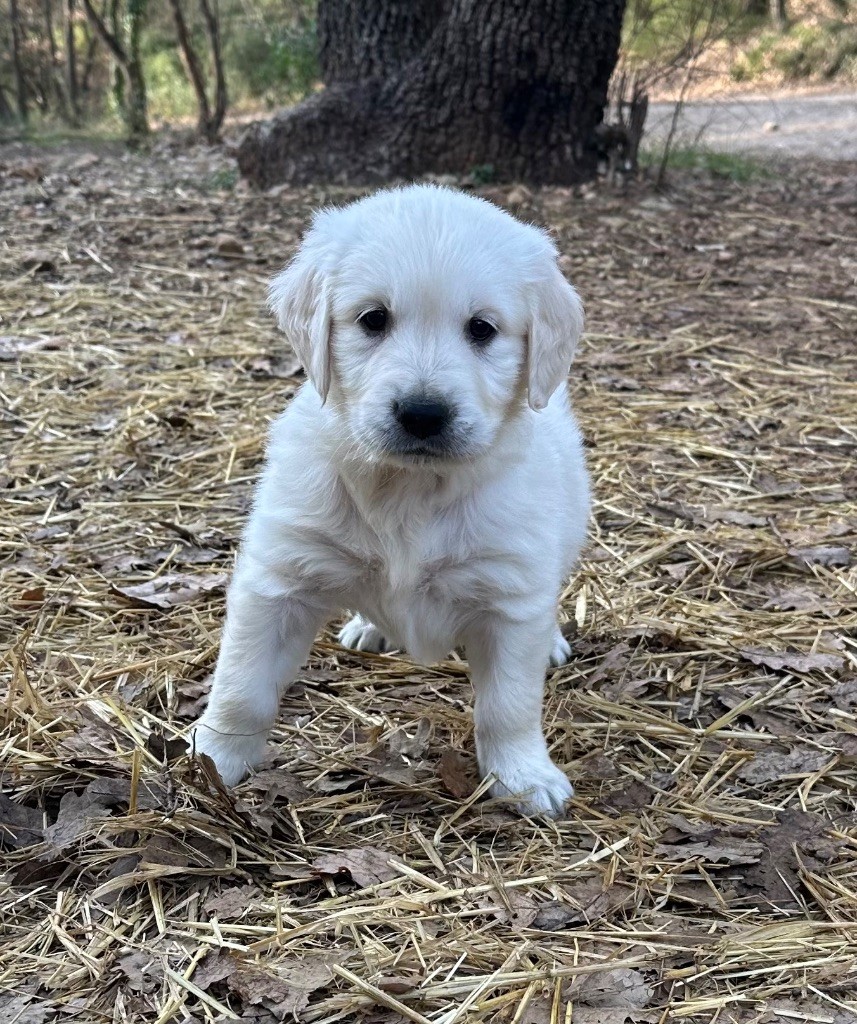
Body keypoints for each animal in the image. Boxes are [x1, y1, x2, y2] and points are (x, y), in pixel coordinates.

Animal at [189, 184, 589, 819]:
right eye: (373, 319)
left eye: (482, 329)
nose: (423, 414)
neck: (410, 489)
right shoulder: (280, 581)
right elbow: (242, 686)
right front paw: (214, 758)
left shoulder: (509, 593)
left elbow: (508, 705)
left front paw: (524, 776)